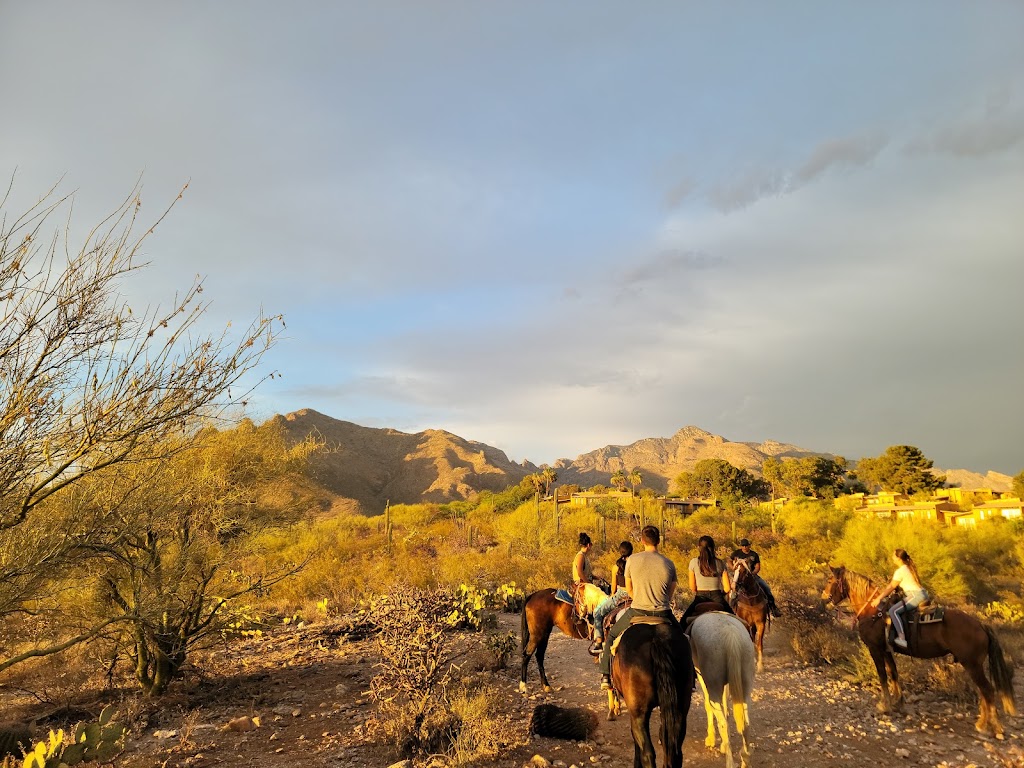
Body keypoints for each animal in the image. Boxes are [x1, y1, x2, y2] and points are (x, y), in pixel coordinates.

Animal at [688, 614, 753, 768]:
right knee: (746, 724)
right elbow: (726, 707)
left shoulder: (702, 676)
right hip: (745, 686)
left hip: (713, 684)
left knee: (723, 721)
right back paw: (745, 758)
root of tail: (730, 634)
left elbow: (709, 706)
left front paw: (711, 739)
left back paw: (730, 761)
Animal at [823, 565, 1015, 741]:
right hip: (973, 665)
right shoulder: (887, 650)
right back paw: (982, 723)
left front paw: (885, 705)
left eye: (831, 581)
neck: (872, 611)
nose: (824, 597)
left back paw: (992, 727)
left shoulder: (875, 649)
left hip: (972, 665)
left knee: (987, 690)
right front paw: (898, 702)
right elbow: (894, 674)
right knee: (983, 691)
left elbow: (883, 676)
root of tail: (981, 626)